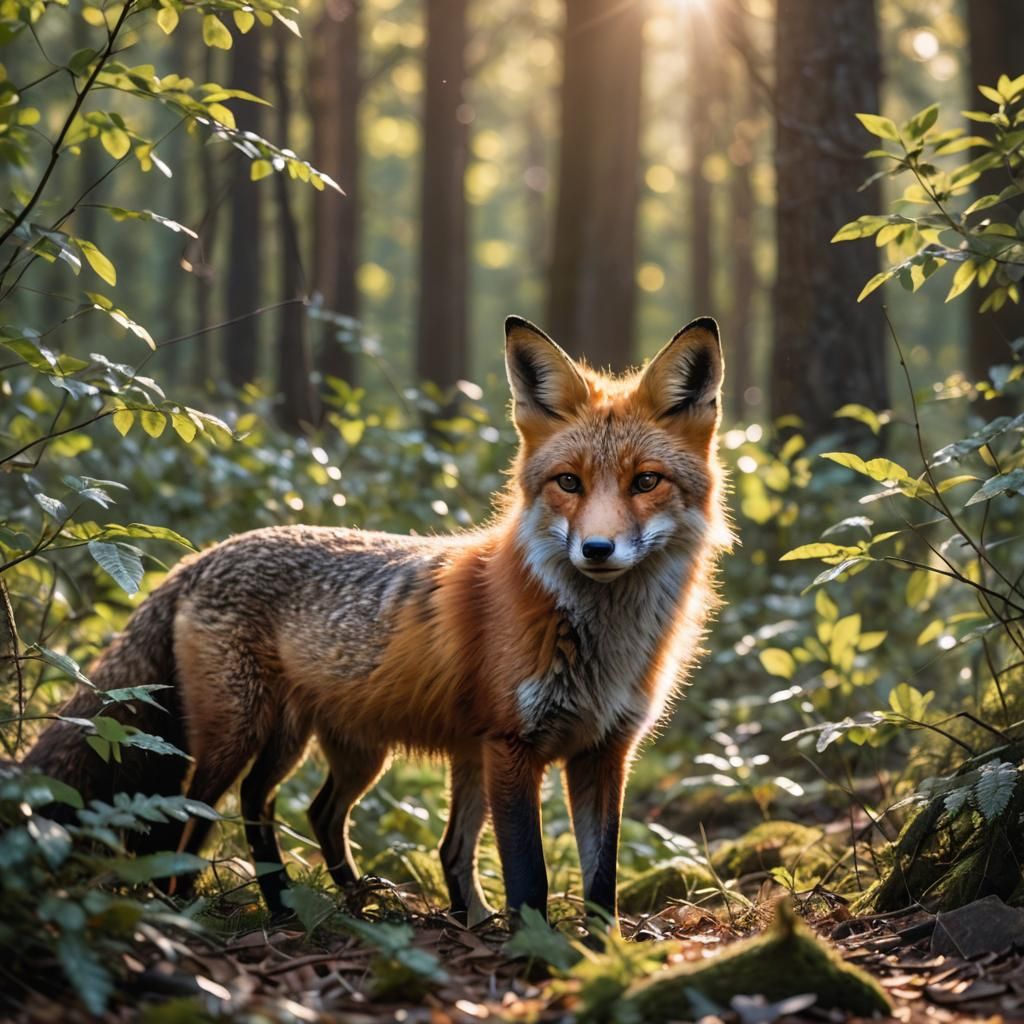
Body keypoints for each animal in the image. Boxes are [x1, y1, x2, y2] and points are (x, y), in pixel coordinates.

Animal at [25, 314, 730, 927]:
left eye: (646, 482)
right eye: (568, 483)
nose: (597, 550)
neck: (598, 642)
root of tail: (200, 555)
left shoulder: (602, 752)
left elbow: (600, 881)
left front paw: (599, 953)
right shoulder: (512, 746)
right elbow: (529, 877)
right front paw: (538, 955)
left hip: (340, 748)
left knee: (295, 809)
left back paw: (317, 903)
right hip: (238, 735)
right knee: (196, 812)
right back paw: (191, 903)